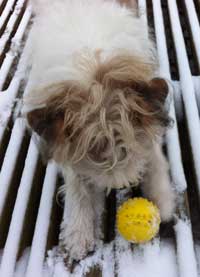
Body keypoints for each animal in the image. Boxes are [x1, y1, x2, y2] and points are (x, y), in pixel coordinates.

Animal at [23, 0, 175, 258]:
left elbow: (153, 156)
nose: (121, 186)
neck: (91, 67)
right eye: (94, 152)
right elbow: (76, 180)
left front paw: (162, 198)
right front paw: (78, 231)